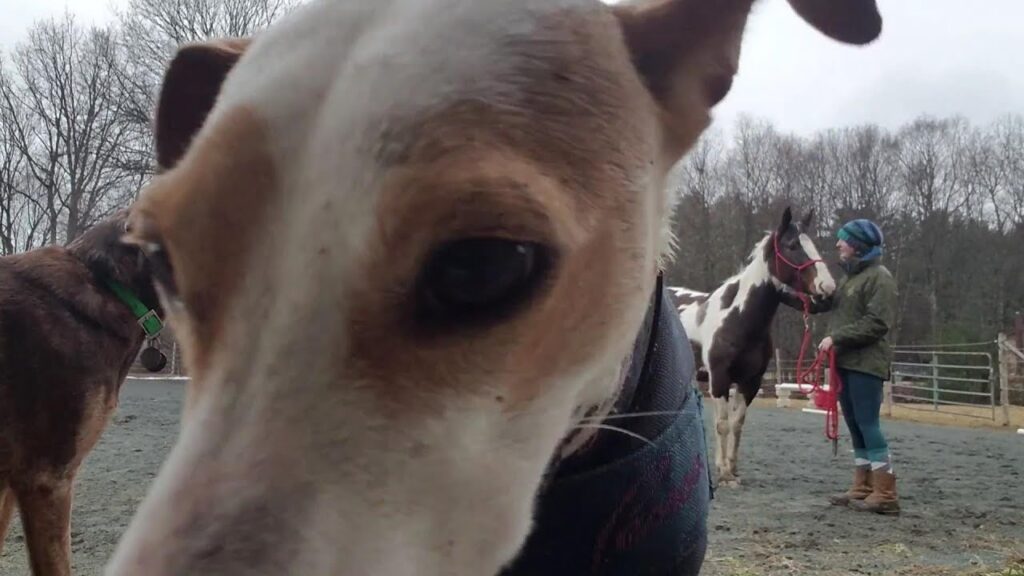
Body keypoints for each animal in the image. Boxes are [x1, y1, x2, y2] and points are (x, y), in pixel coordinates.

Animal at [667, 206, 835, 483]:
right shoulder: (720, 379)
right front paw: (725, 474)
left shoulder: (750, 382)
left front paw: (731, 468)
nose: (828, 290)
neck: (738, 318)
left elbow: (736, 423)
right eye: (792, 246)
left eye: (813, 245)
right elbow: (722, 424)